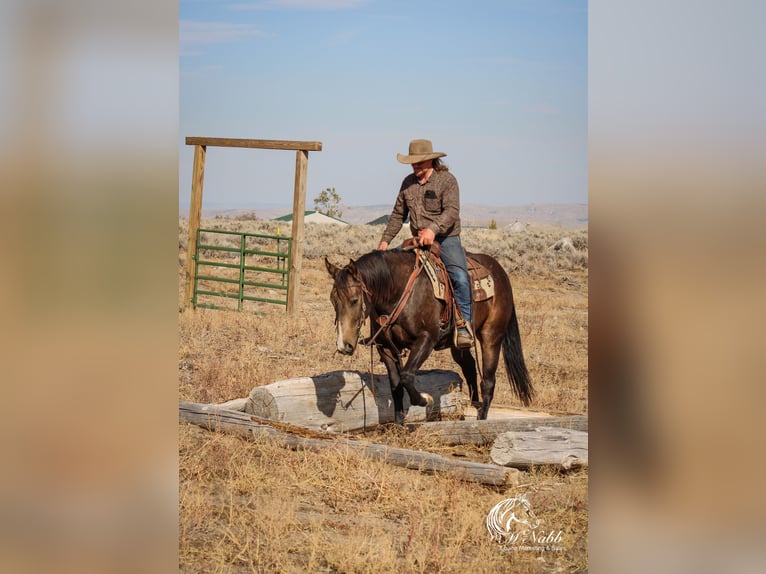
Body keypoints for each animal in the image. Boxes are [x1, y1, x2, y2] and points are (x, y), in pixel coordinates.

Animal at [326, 245, 536, 426]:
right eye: (333, 300)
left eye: (354, 300)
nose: (343, 345)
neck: (400, 292)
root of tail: (501, 272)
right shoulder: (386, 348)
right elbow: (396, 385)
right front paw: (399, 424)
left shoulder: (426, 340)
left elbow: (407, 376)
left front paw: (424, 399)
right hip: (458, 345)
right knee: (469, 367)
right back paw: (473, 407)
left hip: (491, 336)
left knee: (488, 381)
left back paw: (481, 419)